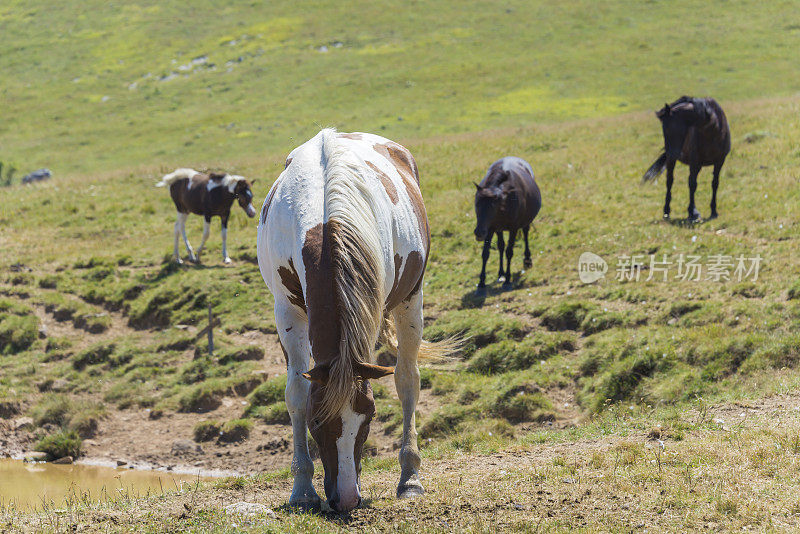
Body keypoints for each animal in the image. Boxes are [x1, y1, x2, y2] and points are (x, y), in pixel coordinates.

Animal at [260, 129, 454, 516]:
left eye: (369, 418)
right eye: (317, 422)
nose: (348, 499)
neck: (324, 221)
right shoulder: (287, 313)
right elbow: (296, 392)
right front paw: (302, 489)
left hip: (411, 300)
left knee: (407, 380)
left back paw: (410, 477)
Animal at [472, 158, 540, 294]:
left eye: (492, 206)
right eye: (477, 204)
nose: (479, 232)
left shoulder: (513, 228)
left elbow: (509, 252)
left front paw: (508, 281)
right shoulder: (490, 228)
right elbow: (486, 253)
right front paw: (481, 284)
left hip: (524, 222)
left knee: (525, 233)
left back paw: (527, 260)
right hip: (498, 229)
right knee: (501, 246)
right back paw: (500, 273)